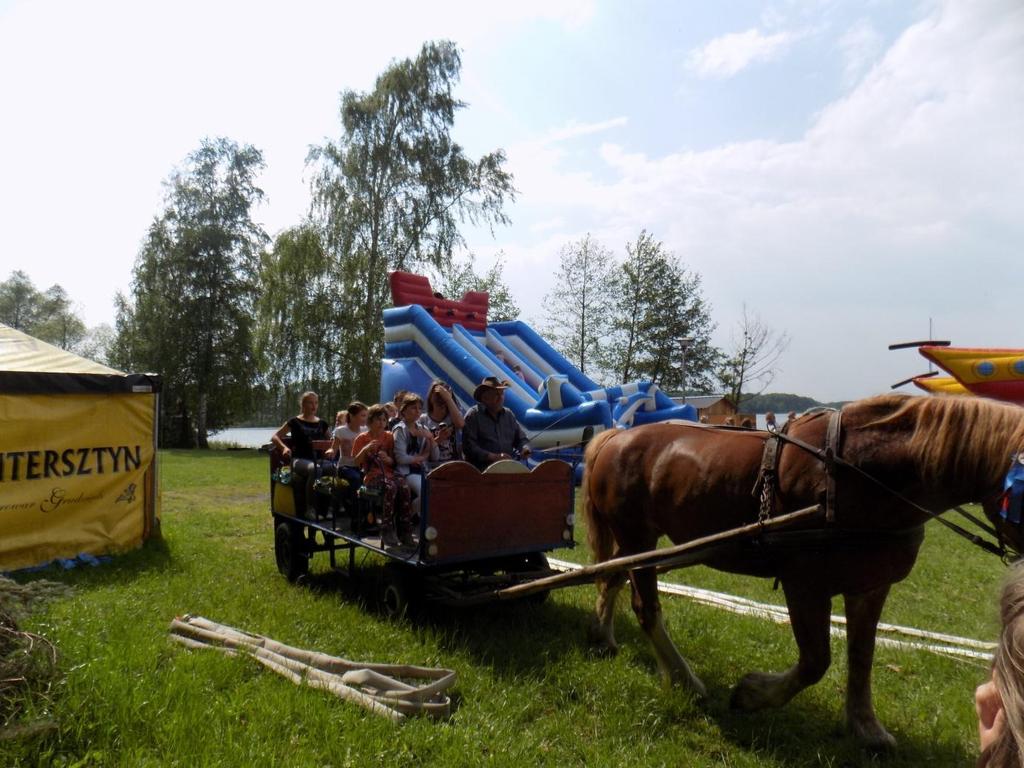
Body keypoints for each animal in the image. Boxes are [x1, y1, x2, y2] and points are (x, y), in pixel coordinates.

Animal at [585, 397, 1024, 753]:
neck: (860, 472)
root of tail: (614, 437)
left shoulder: (871, 586)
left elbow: (861, 655)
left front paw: (866, 726)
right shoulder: (805, 585)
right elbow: (816, 661)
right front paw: (753, 694)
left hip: (638, 543)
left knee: (609, 577)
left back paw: (604, 637)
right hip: (639, 539)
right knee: (645, 607)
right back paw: (683, 680)